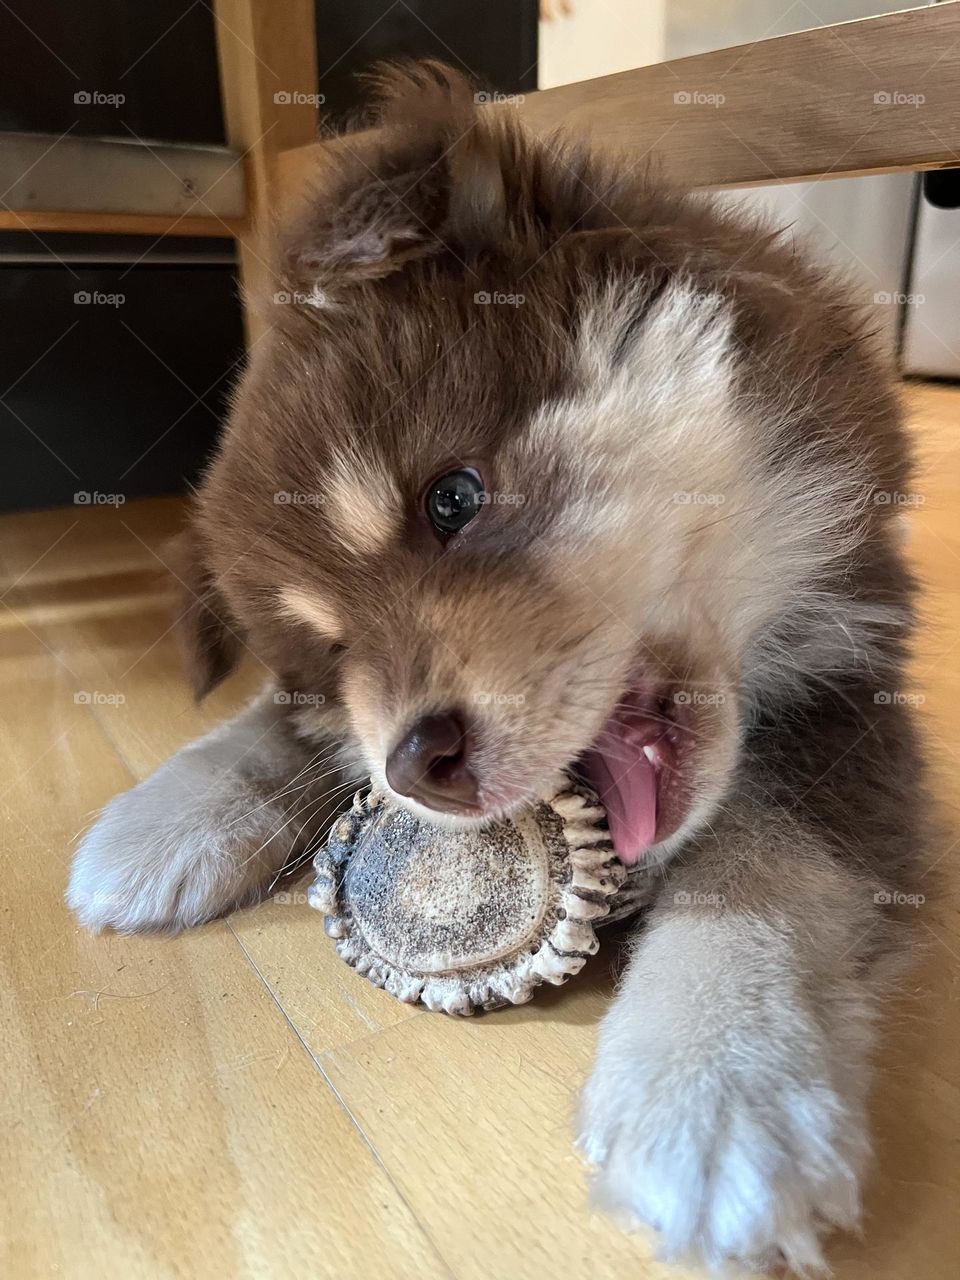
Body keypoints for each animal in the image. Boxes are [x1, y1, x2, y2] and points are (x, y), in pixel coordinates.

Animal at [65, 64, 926, 1274]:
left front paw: (715, 1089)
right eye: (331, 654)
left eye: (454, 499)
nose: (415, 760)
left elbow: (771, 867)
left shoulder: (855, 686)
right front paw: (162, 817)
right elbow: (273, 729)